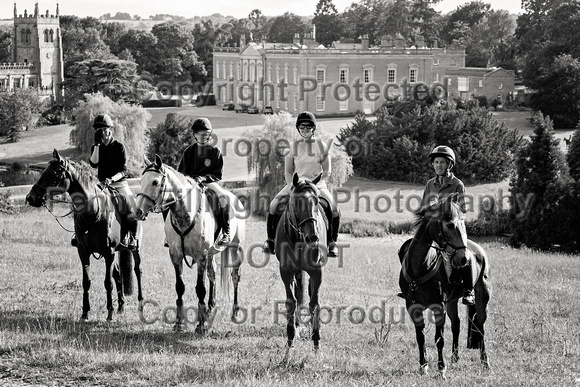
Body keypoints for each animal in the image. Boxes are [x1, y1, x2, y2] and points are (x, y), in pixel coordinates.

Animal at [25, 149, 145, 322]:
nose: (30, 198)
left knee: (137, 271)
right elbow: (86, 282)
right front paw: (85, 313)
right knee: (117, 274)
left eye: (53, 174)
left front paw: (109, 313)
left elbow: (107, 282)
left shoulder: (108, 253)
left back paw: (140, 303)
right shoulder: (84, 252)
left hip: (135, 248)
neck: (93, 210)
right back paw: (121, 307)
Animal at [135, 154, 244, 334]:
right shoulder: (176, 255)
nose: (137, 212)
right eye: (141, 180)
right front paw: (179, 323)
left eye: (155, 182)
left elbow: (200, 288)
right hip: (211, 254)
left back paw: (234, 313)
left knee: (235, 277)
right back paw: (210, 308)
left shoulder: (201, 256)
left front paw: (201, 325)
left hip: (235, 249)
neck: (186, 214)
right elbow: (180, 287)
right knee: (212, 274)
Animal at [276, 173, 328, 360]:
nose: (313, 237)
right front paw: (290, 344)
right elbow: (291, 302)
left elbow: (315, 303)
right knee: (298, 295)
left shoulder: (317, 272)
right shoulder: (286, 272)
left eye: (317, 201)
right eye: (297, 202)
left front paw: (316, 345)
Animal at [396, 193, 492, 378]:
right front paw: (424, 366)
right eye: (450, 225)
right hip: (452, 302)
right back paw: (455, 358)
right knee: (456, 324)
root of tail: (478, 250)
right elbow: (420, 337)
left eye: (463, 224)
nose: (463, 259)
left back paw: (485, 362)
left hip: (482, 295)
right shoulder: (413, 307)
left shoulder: (439, 306)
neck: (420, 266)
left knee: (480, 326)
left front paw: (441, 369)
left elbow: (439, 339)